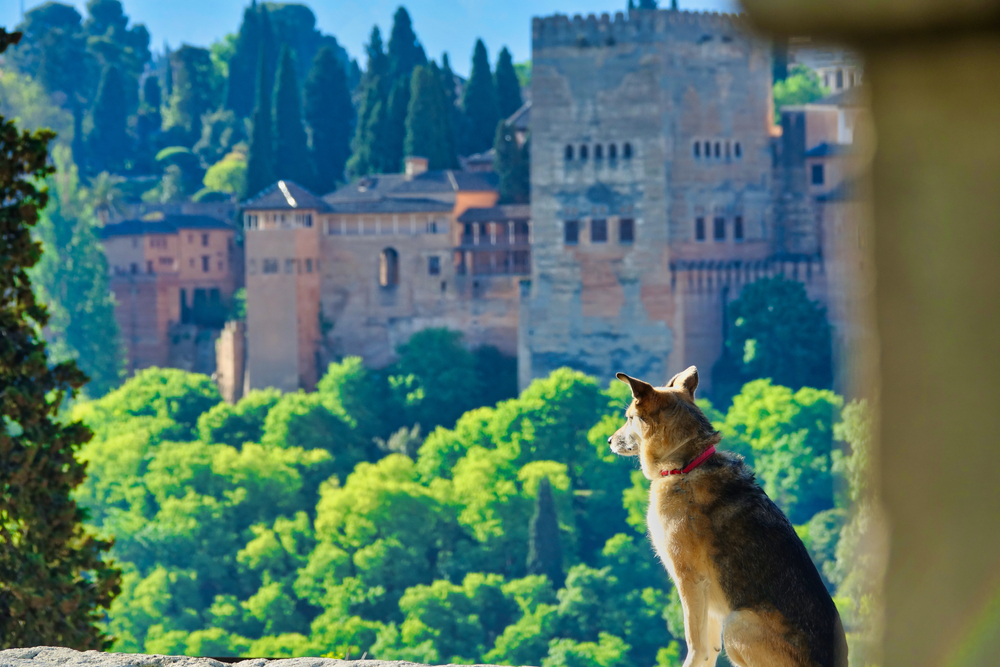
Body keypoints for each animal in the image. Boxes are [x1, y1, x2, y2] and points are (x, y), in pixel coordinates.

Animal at [608, 368, 844, 664]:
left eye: (629, 418)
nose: (608, 441)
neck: (686, 464)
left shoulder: (690, 579)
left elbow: (695, 644)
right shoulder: (705, 596)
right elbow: (708, 650)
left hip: (736, 622)